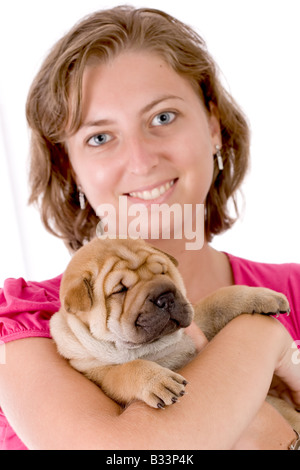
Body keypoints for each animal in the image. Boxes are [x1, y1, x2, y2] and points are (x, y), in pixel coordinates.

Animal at [49, 237, 300, 432]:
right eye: (120, 290)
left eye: (163, 271)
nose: (165, 296)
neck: (154, 346)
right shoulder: (97, 372)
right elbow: (126, 370)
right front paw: (157, 380)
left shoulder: (199, 320)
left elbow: (221, 298)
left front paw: (263, 295)